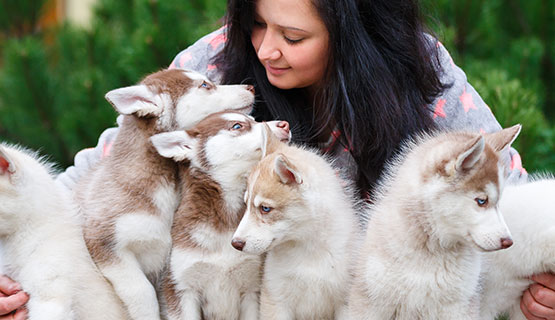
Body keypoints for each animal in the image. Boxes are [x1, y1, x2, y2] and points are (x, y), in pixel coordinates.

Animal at [350, 125, 524, 320]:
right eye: (481, 201)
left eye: (498, 201)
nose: (508, 241)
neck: (432, 250)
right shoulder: (371, 301)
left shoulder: (458, 307)